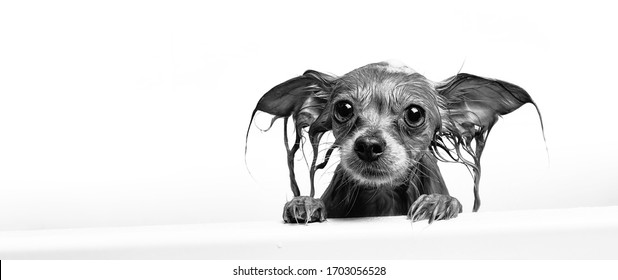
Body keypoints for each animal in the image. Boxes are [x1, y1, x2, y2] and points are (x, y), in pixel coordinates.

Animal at [245, 60, 540, 223]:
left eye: (414, 113)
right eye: (343, 108)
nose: (368, 145)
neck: (382, 193)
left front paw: (439, 202)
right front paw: (305, 202)